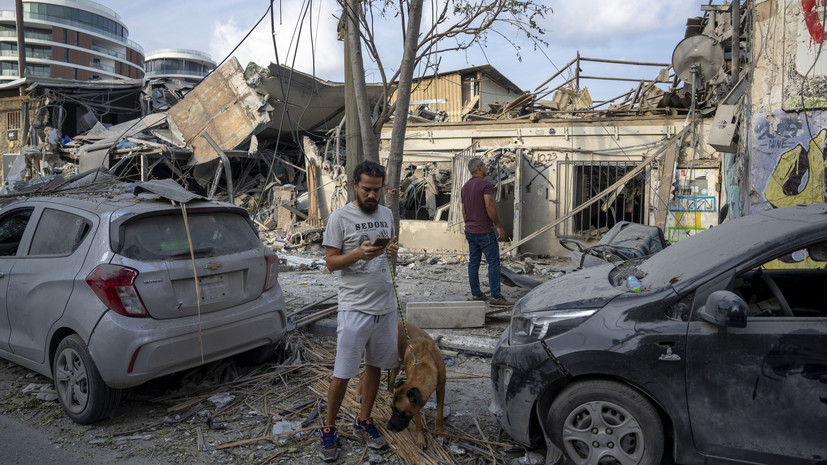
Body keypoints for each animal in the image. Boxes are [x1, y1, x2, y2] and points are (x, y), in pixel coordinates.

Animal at [388, 320, 446, 448]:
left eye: (399, 412)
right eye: (392, 409)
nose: (388, 427)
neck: (424, 363)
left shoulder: (441, 388)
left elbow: (440, 414)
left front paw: (440, 432)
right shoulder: (414, 406)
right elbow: (418, 422)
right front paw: (421, 439)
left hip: (397, 363)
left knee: (392, 377)